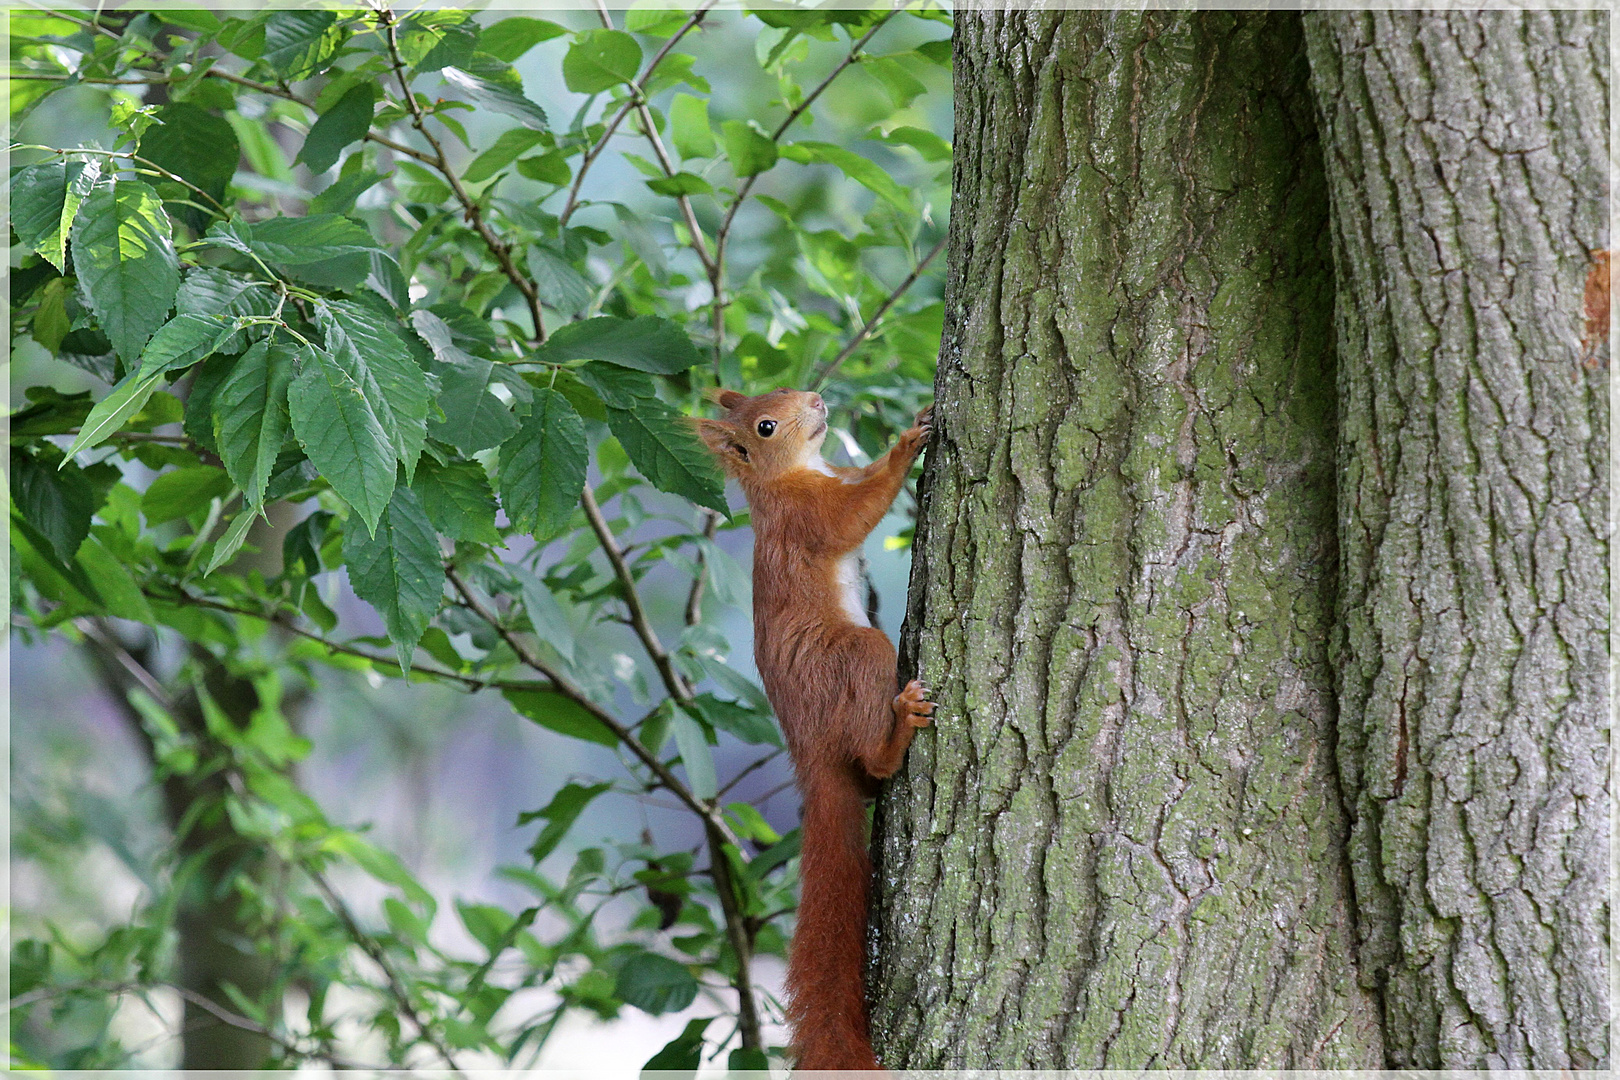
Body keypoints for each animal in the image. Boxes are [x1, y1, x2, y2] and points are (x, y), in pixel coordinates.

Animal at [699, 388, 939, 1075]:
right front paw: (907, 445)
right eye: (765, 425)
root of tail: (810, 754)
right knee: (874, 754)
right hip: (855, 658)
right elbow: (852, 515)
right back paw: (895, 735)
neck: (791, 475)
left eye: (783, 393)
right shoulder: (805, 519)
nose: (816, 398)